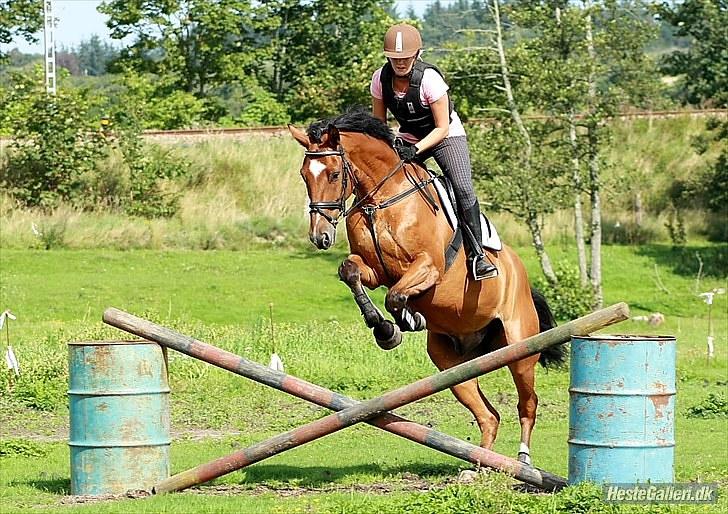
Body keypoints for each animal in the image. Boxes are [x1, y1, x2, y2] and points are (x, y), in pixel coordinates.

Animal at [288, 108, 564, 464]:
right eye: (304, 175)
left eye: (334, 175)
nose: (319, 237)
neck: (381, 199)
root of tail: (522, 278)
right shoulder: (374, 272)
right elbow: (351, 272)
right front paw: (385, 328)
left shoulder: (428, 266)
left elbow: (395, 296)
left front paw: (401, 323)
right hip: (452, 363)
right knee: (489, 415)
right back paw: (478, 468)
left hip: (520, 349)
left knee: (527, 405)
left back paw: (522, 461)